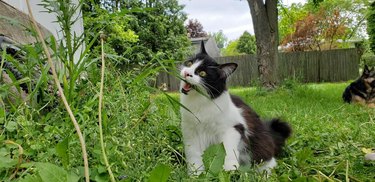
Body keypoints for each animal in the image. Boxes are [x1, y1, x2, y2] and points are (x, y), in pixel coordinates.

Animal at [181, 41, 292, 175]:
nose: (186, 73)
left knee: (269, 161)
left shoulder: (234, 127)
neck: (199, 103)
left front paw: (229, 169)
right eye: (189, 63)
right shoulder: (191, 135)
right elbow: (194, 157)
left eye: (202, 73)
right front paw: (196, 174)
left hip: (259, 147)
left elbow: (227, 149)